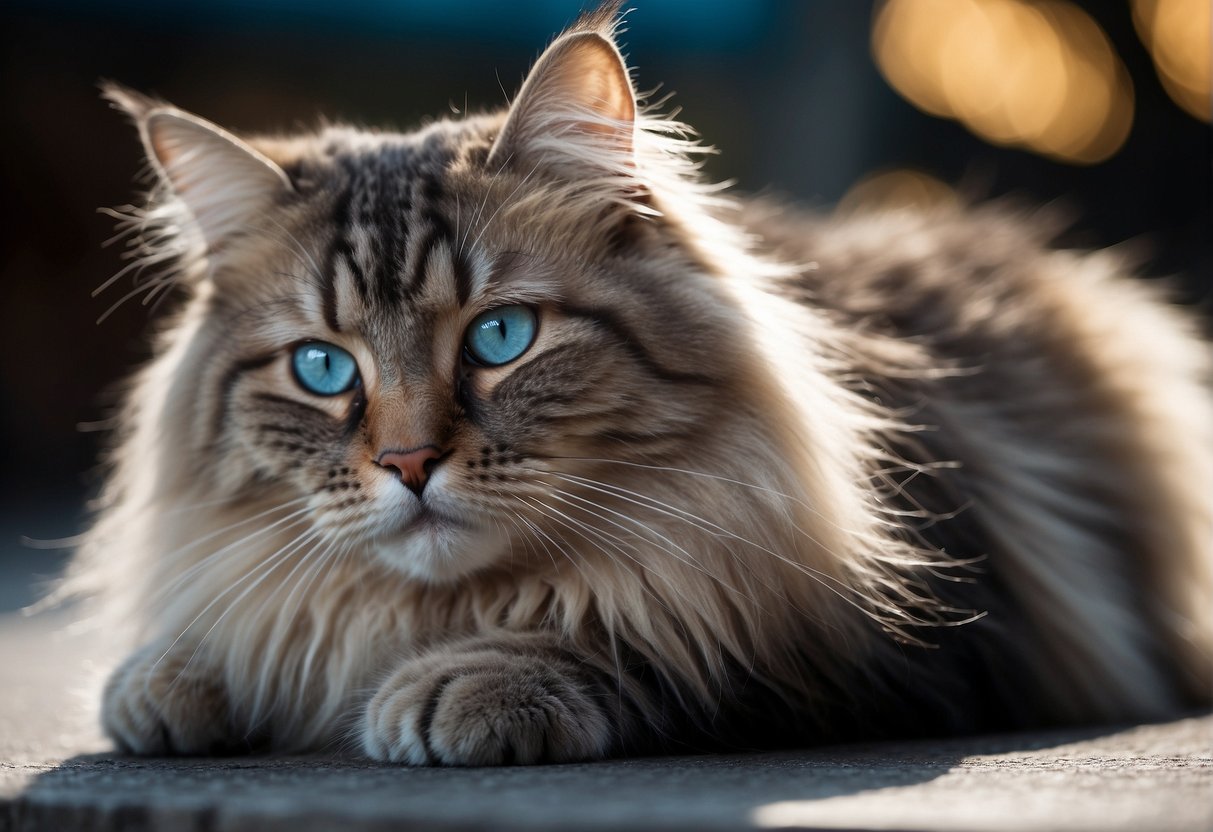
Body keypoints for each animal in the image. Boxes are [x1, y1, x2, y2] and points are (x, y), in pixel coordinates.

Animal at [75, 1, 1213, 771]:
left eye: (499, 336)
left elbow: (642, 639)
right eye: (322, 367)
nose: (407, 461)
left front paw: (466, 683)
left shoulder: (893, 647)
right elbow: (268, 624)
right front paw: (170, 680)